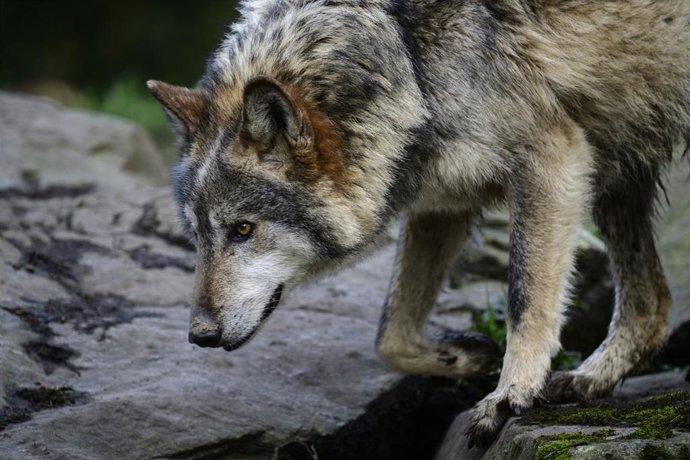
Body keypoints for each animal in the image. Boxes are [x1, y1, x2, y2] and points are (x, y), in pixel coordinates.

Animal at [147, 0, 690, 446]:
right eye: (197, 236)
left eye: (242, 229)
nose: (199, 336)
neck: (407, 55)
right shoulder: (442, 204)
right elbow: (390, 336)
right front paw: (468, 356)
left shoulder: (553, 161)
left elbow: (524, 298)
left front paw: (510, 395)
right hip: (622, 158)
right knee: (653, 304)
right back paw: (589, 379)